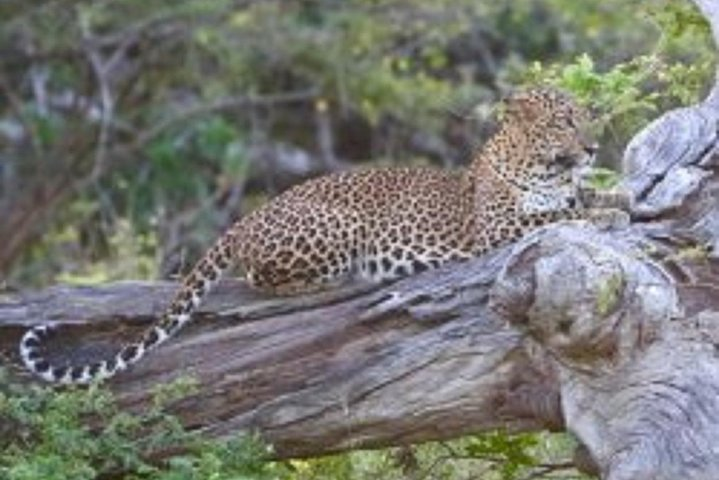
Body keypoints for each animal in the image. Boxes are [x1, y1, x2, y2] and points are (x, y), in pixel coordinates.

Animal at [19, 87, 621, 384]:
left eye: (587, 118)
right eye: (564, 121)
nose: (593, 147)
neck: (543, 168)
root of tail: (246, 219)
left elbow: (588, 200)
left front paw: (618, 199)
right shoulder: (495, 230)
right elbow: (548, 218)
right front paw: (604, 216)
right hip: (338, 224)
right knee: (261, 279)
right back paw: (336, 283)